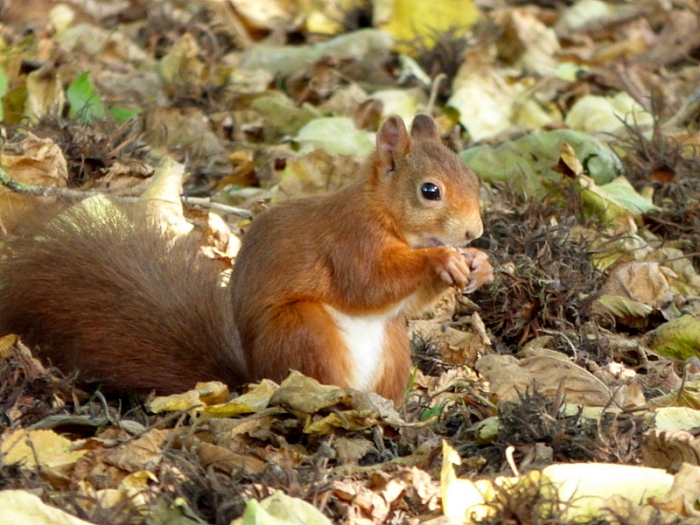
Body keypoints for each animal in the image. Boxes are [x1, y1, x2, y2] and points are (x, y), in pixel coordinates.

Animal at [0, 114, 492, 403]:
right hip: (301, 332)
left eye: (473, 178)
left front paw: (479, 264)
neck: (385, 214)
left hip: (392, 342)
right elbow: (367, 282)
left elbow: (404, 300)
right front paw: (443, 258)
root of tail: (251, 381)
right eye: (430, 191)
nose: (475, 232)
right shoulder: (349, 241)